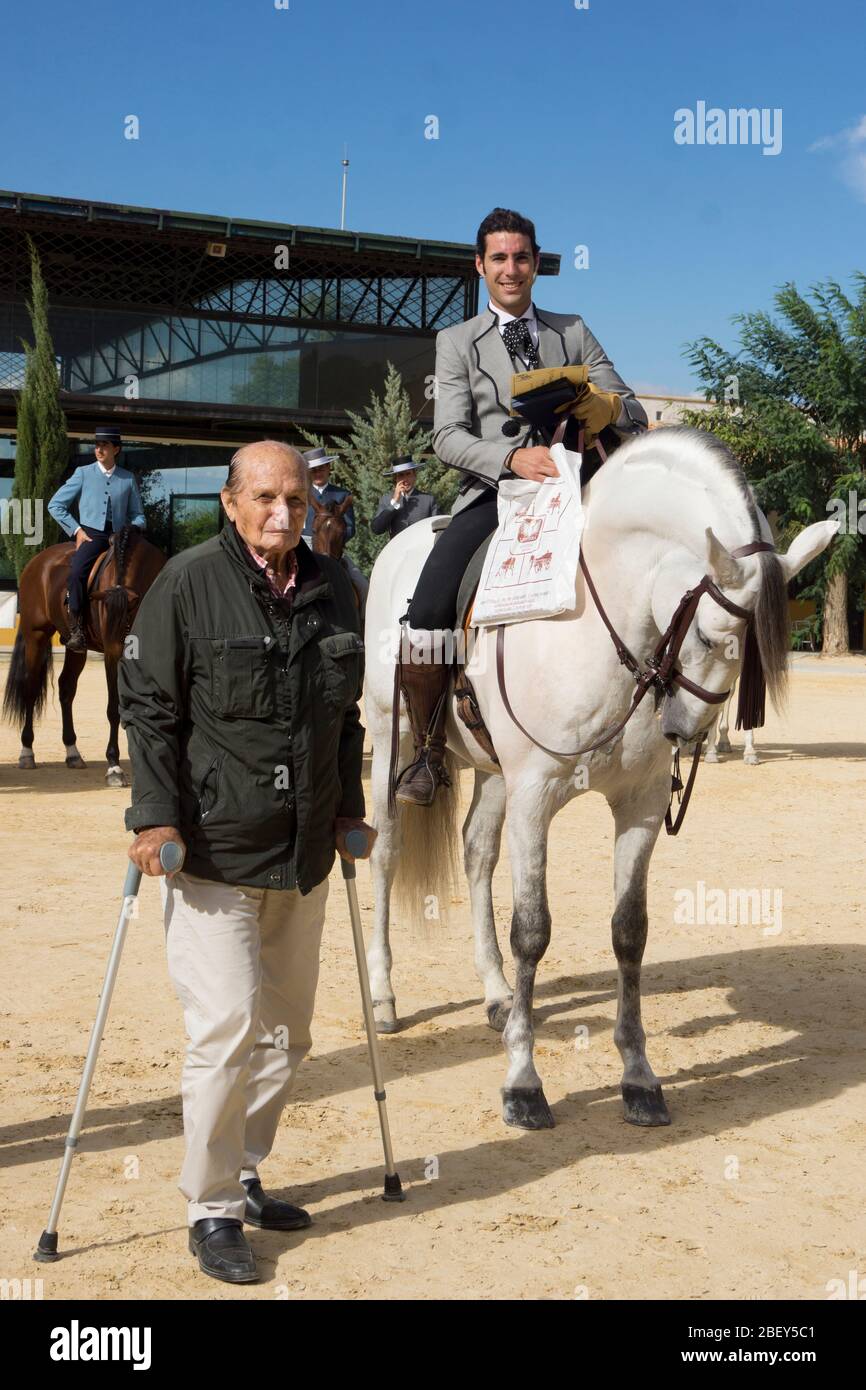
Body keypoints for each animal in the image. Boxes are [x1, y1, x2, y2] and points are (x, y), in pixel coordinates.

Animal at [2, 522, 165, 783]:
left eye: (129, 619)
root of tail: (38, 561)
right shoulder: (112, 653)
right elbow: (113, 709)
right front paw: (114, 766)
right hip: (35, 636)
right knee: (30, 689)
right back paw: (27, 753)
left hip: (76, 648)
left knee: (66, 688)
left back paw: (73, 753)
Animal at [361, 428, 839, 1134]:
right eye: (706, 633)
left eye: (755, 655)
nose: (687, 730)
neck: (601, 628)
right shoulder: (535, 796)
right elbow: (532, 930)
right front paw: (524, 1084)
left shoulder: (637, 803)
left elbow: (628, 932)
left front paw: (638, 1076)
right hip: (391, 744)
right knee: (386, 856)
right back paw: (386, 997)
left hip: (494, 775)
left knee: (477, 854)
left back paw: (498, 993)